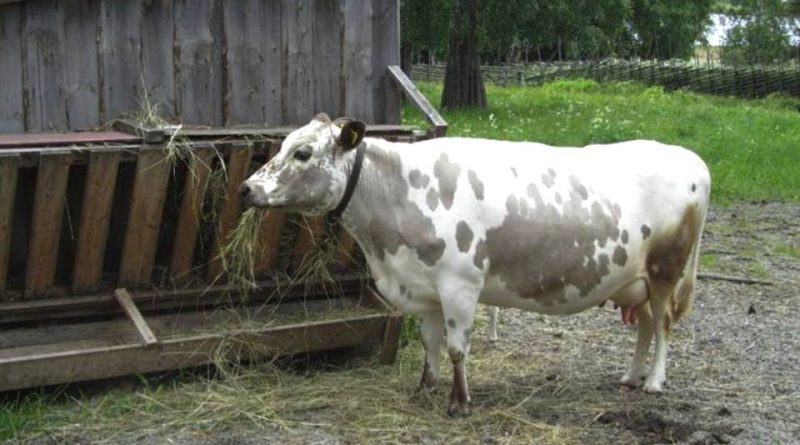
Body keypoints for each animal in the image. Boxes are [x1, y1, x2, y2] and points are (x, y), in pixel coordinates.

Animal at [239, 112, 712, 416]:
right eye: (283, 145)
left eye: (302, 153)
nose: (246, 189)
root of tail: (692, 159)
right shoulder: (424, 287)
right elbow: (430, 344)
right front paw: (424, 389)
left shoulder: (460, 285)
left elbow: (456, 348)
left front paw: (459, 403)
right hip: (636, 280)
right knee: (646, 324)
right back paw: (631, 377)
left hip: (666, 269)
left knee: (663, 325)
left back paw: (654, 381)